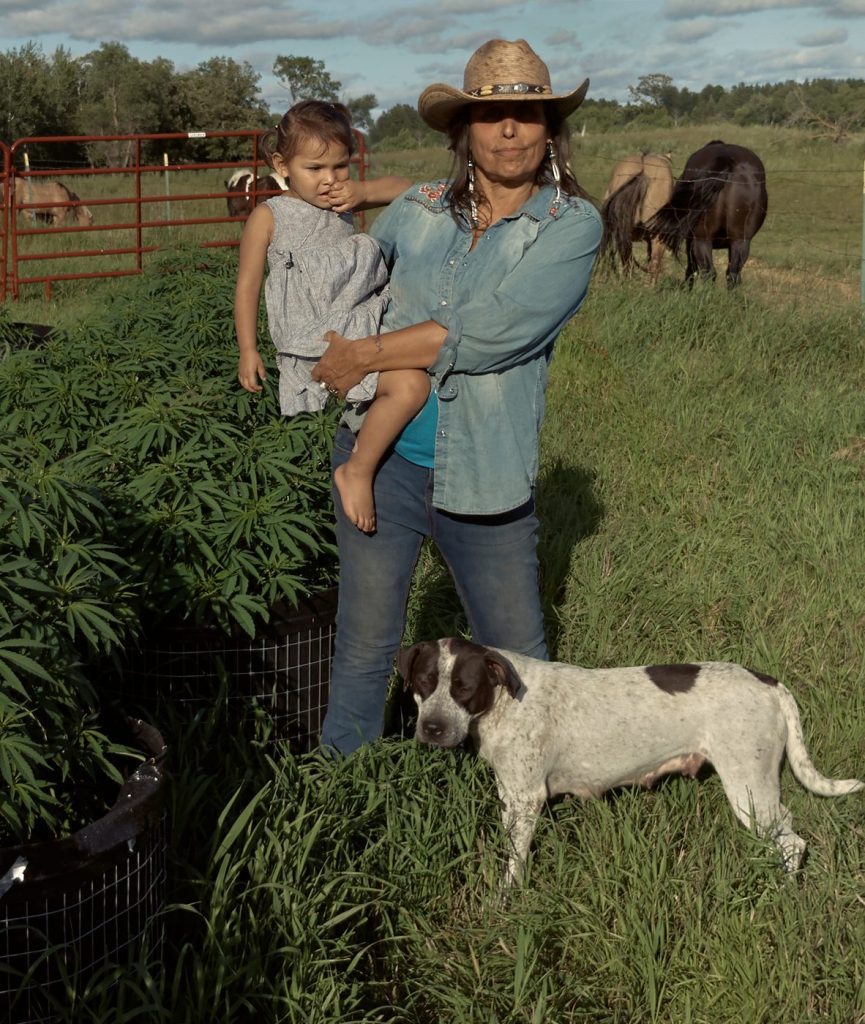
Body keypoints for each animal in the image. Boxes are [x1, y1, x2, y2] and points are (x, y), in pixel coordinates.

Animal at [395, 634, 859, 884]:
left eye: (463, 687)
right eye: (423, 682)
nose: (432, 728)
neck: (503, 701)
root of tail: (768, 682)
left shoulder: (526, 800)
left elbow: (514, 863)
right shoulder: (510, 795)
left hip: (750, 787)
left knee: (793, 842)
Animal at [642, 140, 765, 288]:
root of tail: (727, 160)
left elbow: (691, 268)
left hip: (702, 239)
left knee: (708, 272)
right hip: (740, 241)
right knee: (732, 274)